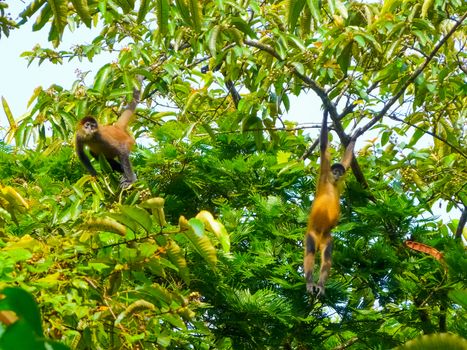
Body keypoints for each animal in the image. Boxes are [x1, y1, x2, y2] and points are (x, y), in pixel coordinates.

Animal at [306, 110, 356, 296]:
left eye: (339, 172)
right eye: (334, 171)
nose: (337, 174)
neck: (332, 183)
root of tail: (320, 237)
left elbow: (347, 161)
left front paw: (354, 137)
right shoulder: (325, 172)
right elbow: (323, 146)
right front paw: (326, 111)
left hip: (328, 239)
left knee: (327, 257)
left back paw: (320, 284)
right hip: (312, 234)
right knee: (310, 251)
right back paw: (310, 282)